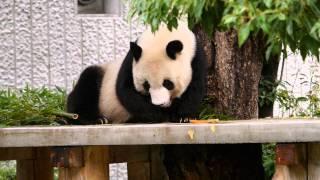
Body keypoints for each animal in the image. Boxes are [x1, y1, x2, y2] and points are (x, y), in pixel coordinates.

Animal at [67, 21, 208, 124]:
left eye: (168, 83)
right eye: (146, 85)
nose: (160, 104)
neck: (164, 35)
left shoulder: (196, 57)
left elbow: (195, 88)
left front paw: (182, 116)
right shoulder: (131, 59)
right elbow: (126, 90)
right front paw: (157, 114)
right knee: (85, 85)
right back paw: (94, 119)